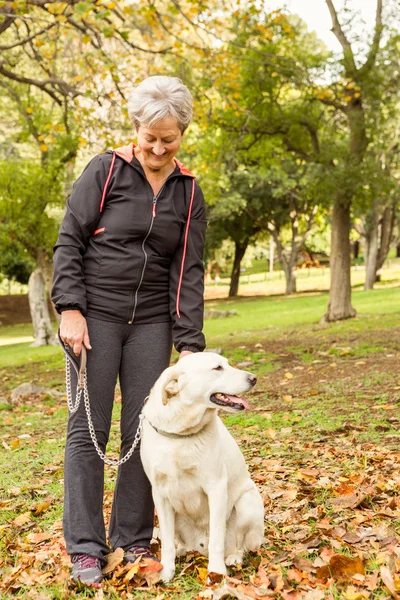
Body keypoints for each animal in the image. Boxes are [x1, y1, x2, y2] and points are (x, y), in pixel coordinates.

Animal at [141, 352, 266, 580]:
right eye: (217, 368)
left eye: (227, 364)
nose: (253, 378)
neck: (181, 434)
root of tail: (199, 548)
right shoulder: (160, 494)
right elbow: (167, 542)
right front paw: (166, 571)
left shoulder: (216, 487)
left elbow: (217, 539)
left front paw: (216, 572)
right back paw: (182, 551)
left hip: (247, 504)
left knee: (241, 545)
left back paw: (233, 557)